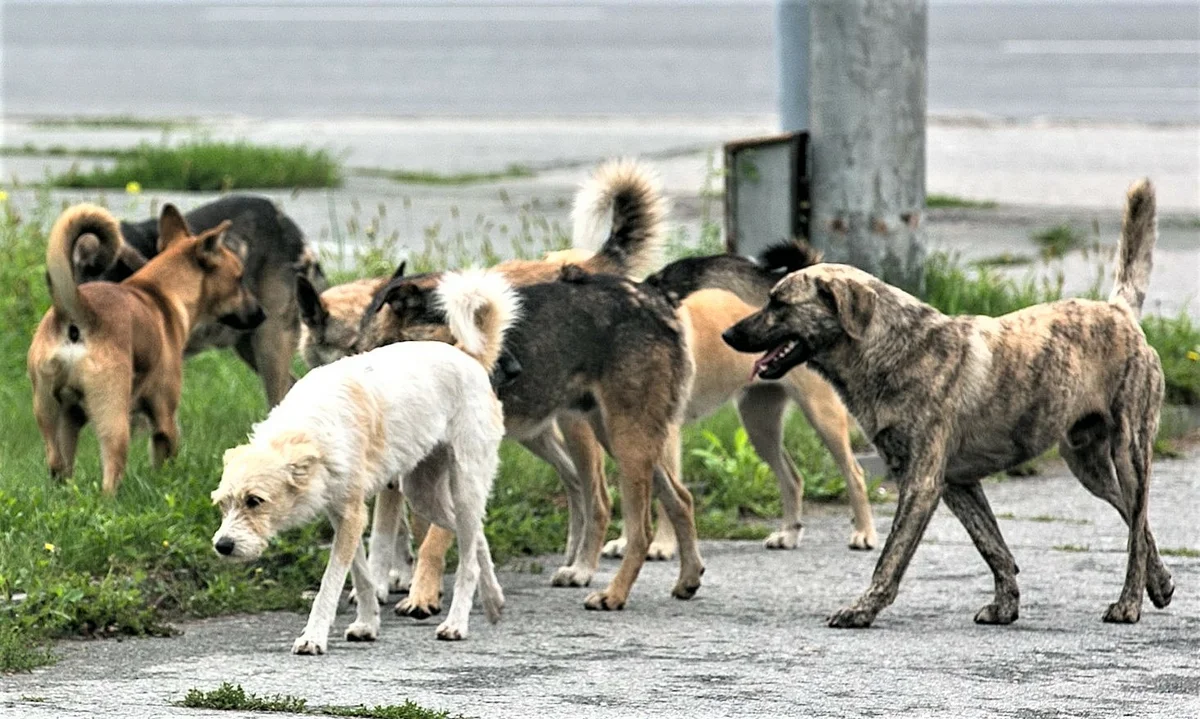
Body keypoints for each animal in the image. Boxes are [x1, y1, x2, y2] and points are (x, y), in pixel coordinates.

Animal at [27, 202, 267, 494]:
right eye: (239, 278)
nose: (262, 314)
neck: (161, 292)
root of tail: (77, 313)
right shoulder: (165, 418)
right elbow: (165, 457)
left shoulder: (71, 418)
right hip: (113, 419)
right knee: (110, 473)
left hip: (50, 414)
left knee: (57, 464)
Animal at [212, 268, 520, 652]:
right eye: (222, 505)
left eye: (255, 501)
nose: (222, 546)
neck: (309, 429)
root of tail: (468, 357)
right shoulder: (344, 516)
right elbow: (361, 576)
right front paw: (367, 624)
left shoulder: (352, 516)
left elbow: (330, 583)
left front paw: (313, 636)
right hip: (423, 494)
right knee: (476, 536)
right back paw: (493, 600)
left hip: (463, 485)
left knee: (467, 561)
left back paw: (456, 623)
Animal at [595, 238, 878, 559]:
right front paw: (626, 542)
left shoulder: (665, 437)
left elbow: (665, 498)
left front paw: (662, 545)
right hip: (759, 425)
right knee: (792, 479)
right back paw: (789, 534)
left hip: (822, 417)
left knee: (854, 473)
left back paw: (864, 533)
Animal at [720, 177, 1171, 628]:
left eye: (779, 303)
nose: (727, 334)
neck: (893, 348)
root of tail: (1118, 311)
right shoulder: (957, 484)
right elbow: (993, 546)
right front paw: (1005, 605)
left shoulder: (920, 484)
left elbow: (891, 557)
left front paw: (863, 608)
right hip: (1087, 465)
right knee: (1138, 520)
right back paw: (1160, 582)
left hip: (1129, 453)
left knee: (1136, 527)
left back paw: (1129, 603)